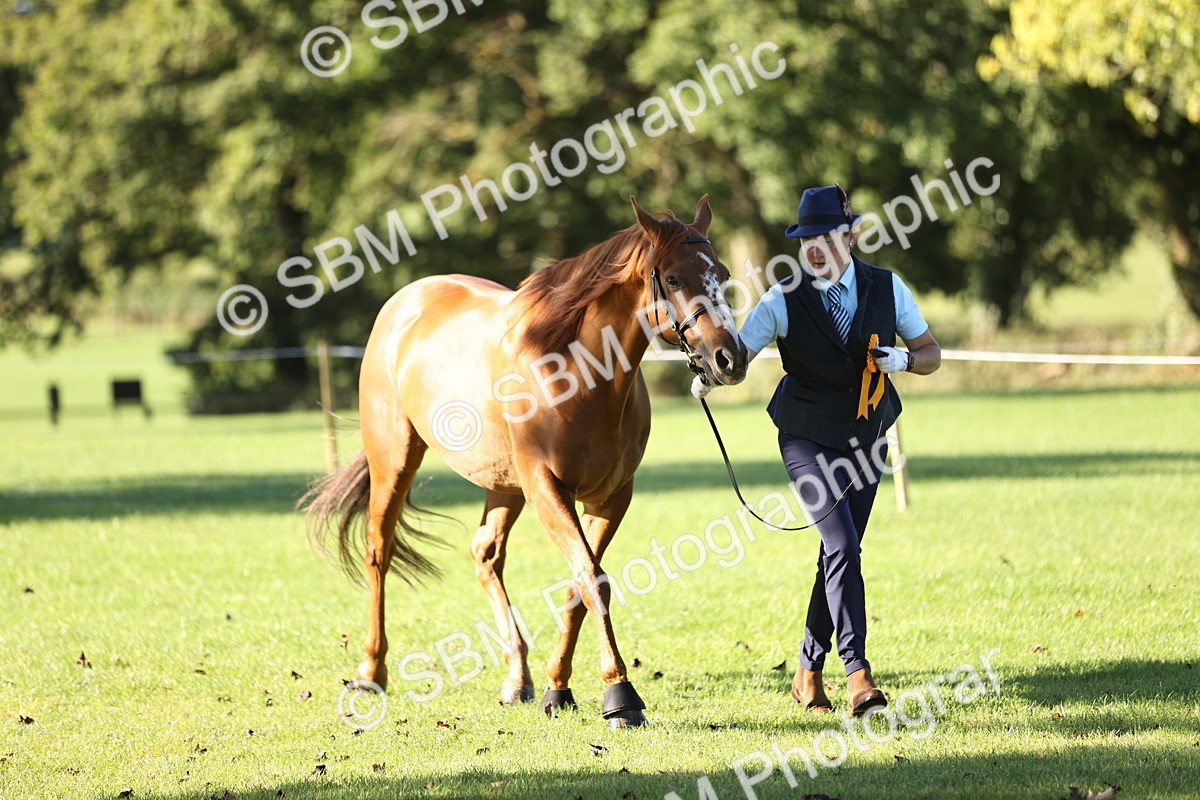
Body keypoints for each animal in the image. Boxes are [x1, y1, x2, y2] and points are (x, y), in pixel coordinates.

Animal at [302, 195, 748, 727]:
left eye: (722, 272)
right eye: (675, 278)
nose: (730, 359)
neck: (576, 372)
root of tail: (405, 301)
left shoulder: (611, 496)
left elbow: (580, 585)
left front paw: (559, 687)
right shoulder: (546, 487)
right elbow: (593, 581)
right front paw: (620, 695)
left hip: (502, 483)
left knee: (485, 553)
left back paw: (518, 678)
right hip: (395, 460)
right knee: (378, 552)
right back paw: (371, 672)